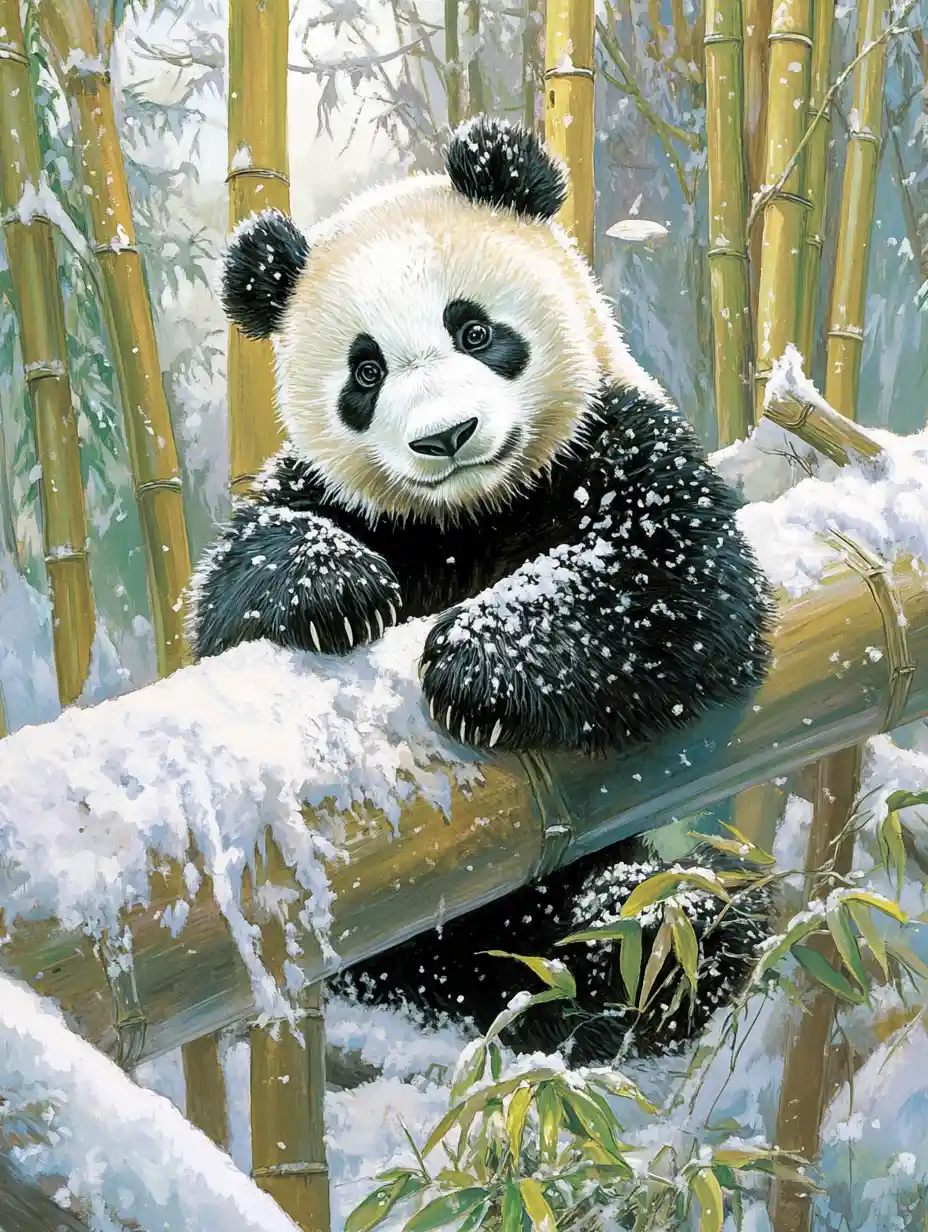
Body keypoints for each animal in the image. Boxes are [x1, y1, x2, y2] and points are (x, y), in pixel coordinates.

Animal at [189, 116, 777, 1064]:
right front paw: (332, 585)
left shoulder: (616, 439)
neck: (471, 513)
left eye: (473, 330)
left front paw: (478, 664)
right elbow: (228, 596)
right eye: (364, 373)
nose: (446, 435)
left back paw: (653, 933)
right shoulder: (335, 494)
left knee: (674, 913)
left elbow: (679, 584)